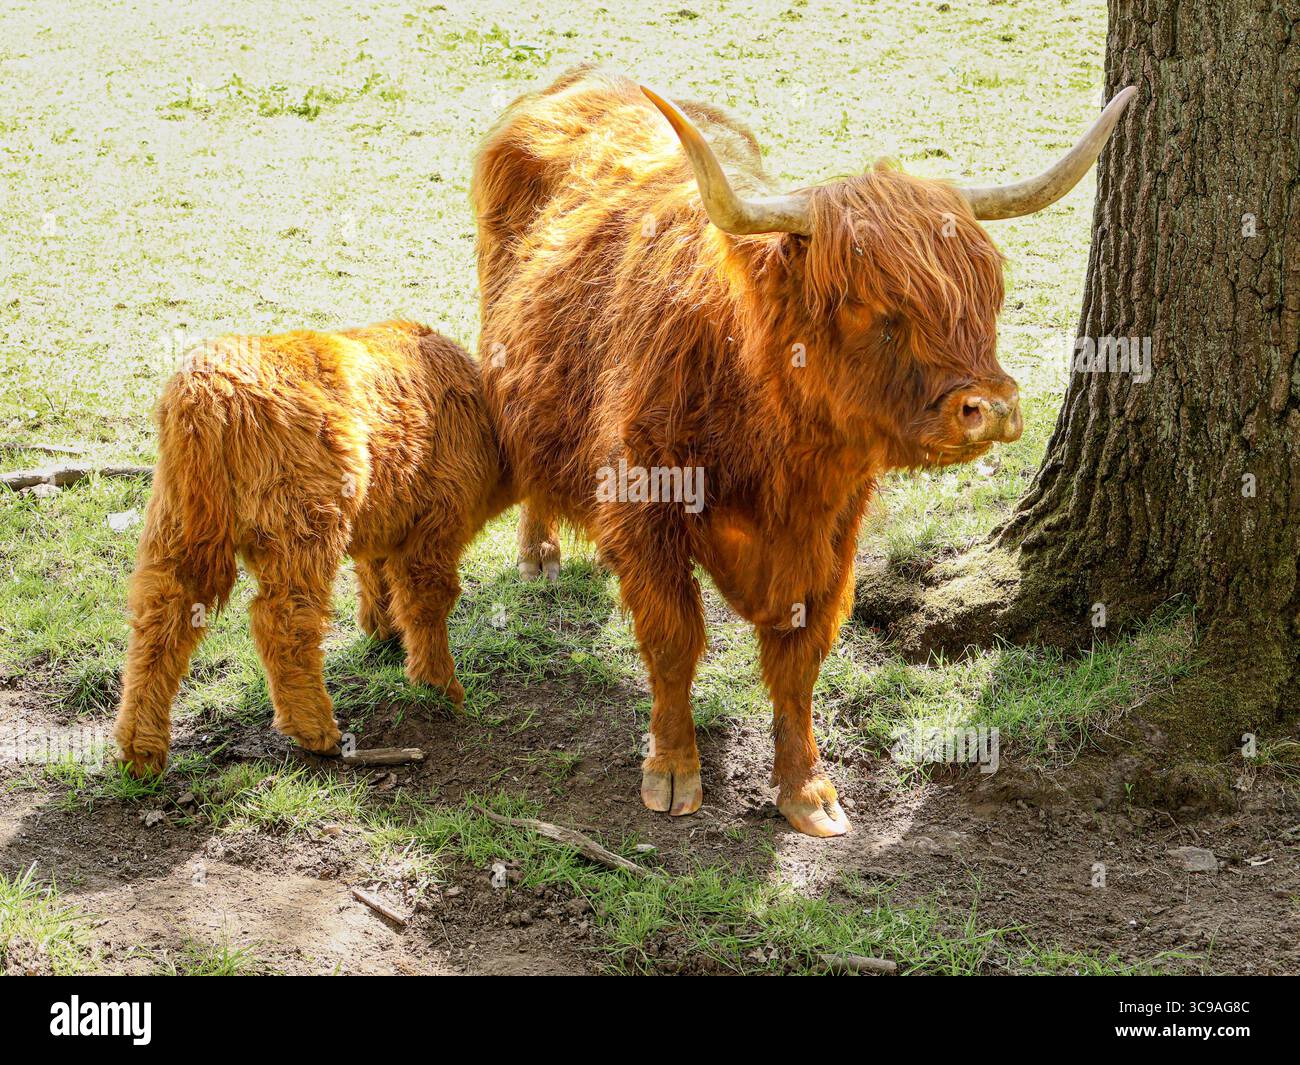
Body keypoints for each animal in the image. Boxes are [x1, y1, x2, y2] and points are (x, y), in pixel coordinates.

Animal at [112, 321, 511, 775]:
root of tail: (208, 387)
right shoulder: (434, 528)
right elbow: (428, 602)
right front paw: (440, 685)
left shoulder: (386, 518)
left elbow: (375, 573)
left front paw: (384, 632)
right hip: (304, 526)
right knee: (283, 620)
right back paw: (317, 731)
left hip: (177, 525)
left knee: (160, 616)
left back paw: (140, 750)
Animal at [473, 66, 1133, 836]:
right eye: (869, 306)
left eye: (988, 294)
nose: (990, 408)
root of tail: (588, 79)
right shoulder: (645, 507)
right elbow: (673, 639)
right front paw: (673, 768)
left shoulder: (831, 532)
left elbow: (800, 657)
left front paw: (807, 789)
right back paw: (538, 551)